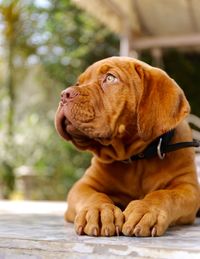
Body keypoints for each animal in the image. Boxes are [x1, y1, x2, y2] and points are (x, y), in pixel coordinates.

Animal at [55, 57, 200, 238]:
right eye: (78, 83)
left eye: (110, 78)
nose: (64, 94)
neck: (137, 158)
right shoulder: (83, 185)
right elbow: (94, 195)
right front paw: (99, 210)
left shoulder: (188, 188)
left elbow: (164, 194)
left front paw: (146, 210)